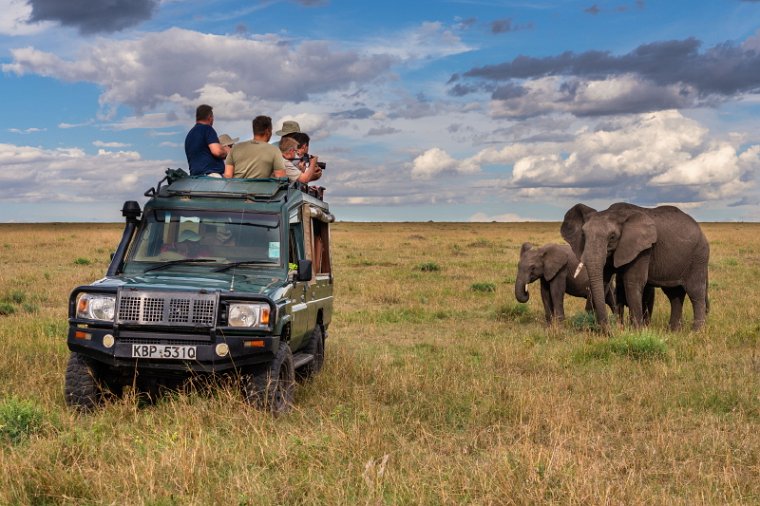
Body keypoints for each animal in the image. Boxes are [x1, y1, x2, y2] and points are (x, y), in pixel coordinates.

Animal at [560, 202, 708, 332]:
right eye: (583, 235)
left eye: (612, 237)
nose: (610, 330)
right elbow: (602, 281)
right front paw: (587, 328)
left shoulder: (642, 249)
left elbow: (633, 282)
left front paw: (636, 332)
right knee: (674, 294)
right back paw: (673, 331)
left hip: (698, 257)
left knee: (695, 292)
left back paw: (696, 332)